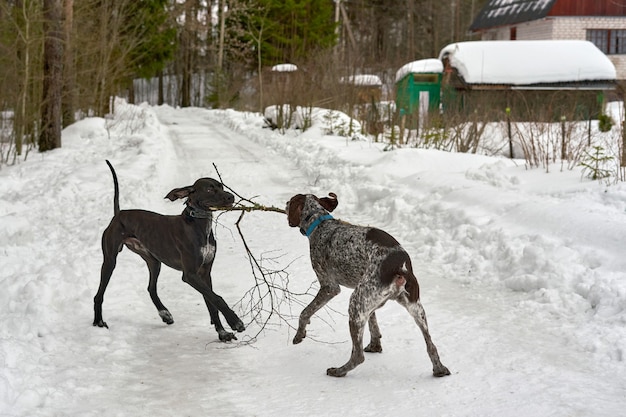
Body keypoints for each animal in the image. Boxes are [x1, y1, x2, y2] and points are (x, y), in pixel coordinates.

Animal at [92, 161, 244, 340]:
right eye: (209, 189)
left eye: (221, 186)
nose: (231, 197)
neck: (198, 224)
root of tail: (118, 214)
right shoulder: (190, 275)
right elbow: (217, 298)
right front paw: (235, 322)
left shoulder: (205, 273)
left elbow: (211, 302)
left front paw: (222, 332)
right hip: (110, 261)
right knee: (99, 295)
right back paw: (98, 322)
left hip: (154, 261)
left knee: (151, 288)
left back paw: (165, 313)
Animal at [286, 193, 446, 376]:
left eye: (290, 201)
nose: (285, 203)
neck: (320, 222)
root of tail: (400, 266)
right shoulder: (368, 300)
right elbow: (373, 322)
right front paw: (375, 345)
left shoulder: (329, 287)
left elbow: (305, 312)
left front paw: (299, 334)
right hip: (413, 308)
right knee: (431, 345)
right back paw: (439, 369)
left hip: (355, 304)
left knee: (358, 355)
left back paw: (339, 371)